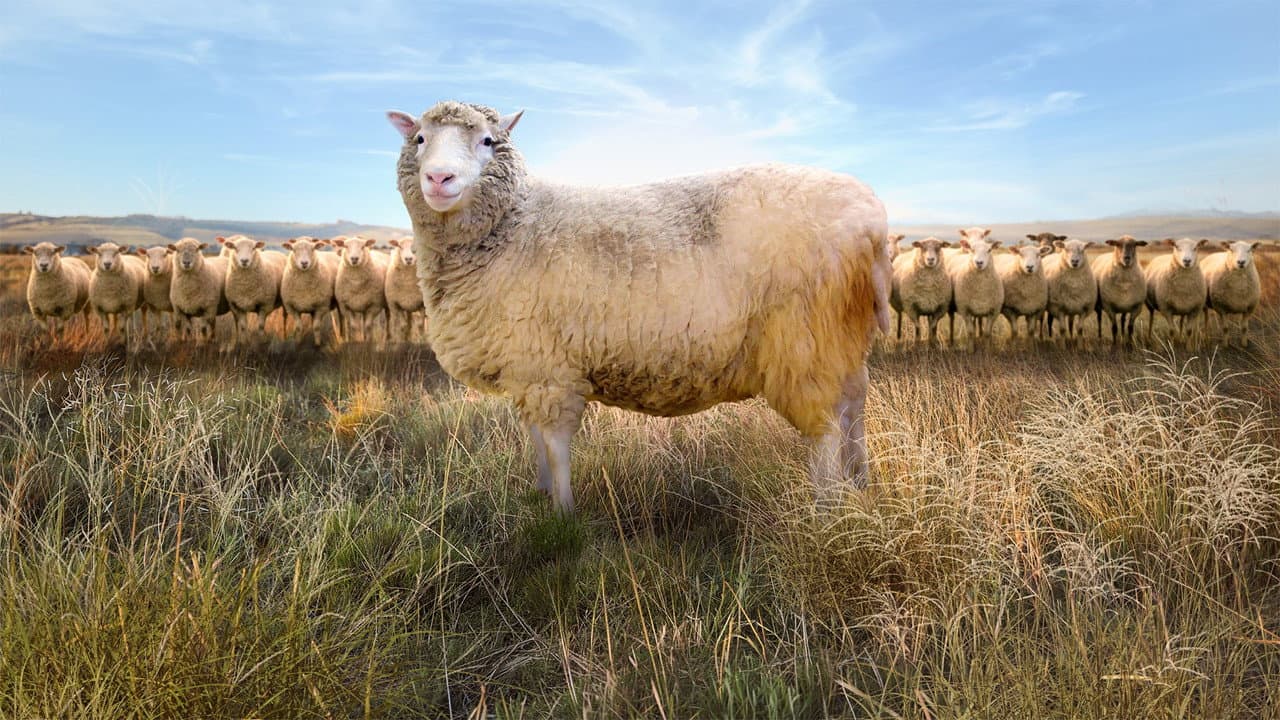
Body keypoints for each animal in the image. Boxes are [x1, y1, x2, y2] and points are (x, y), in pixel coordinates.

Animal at [387, 101, 892, 512]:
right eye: (420, 138)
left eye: (488, 141)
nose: (439, 178)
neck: (516, 222)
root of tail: (872, 216)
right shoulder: (525, 369)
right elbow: (535, 440)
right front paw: (541, 494)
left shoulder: (549, 369)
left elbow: (555, 445)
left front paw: (563, 516)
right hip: (842, 335)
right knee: (854, 406)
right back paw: (860, 485)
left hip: (804, 340)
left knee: (825, 429)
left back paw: (826, 504)